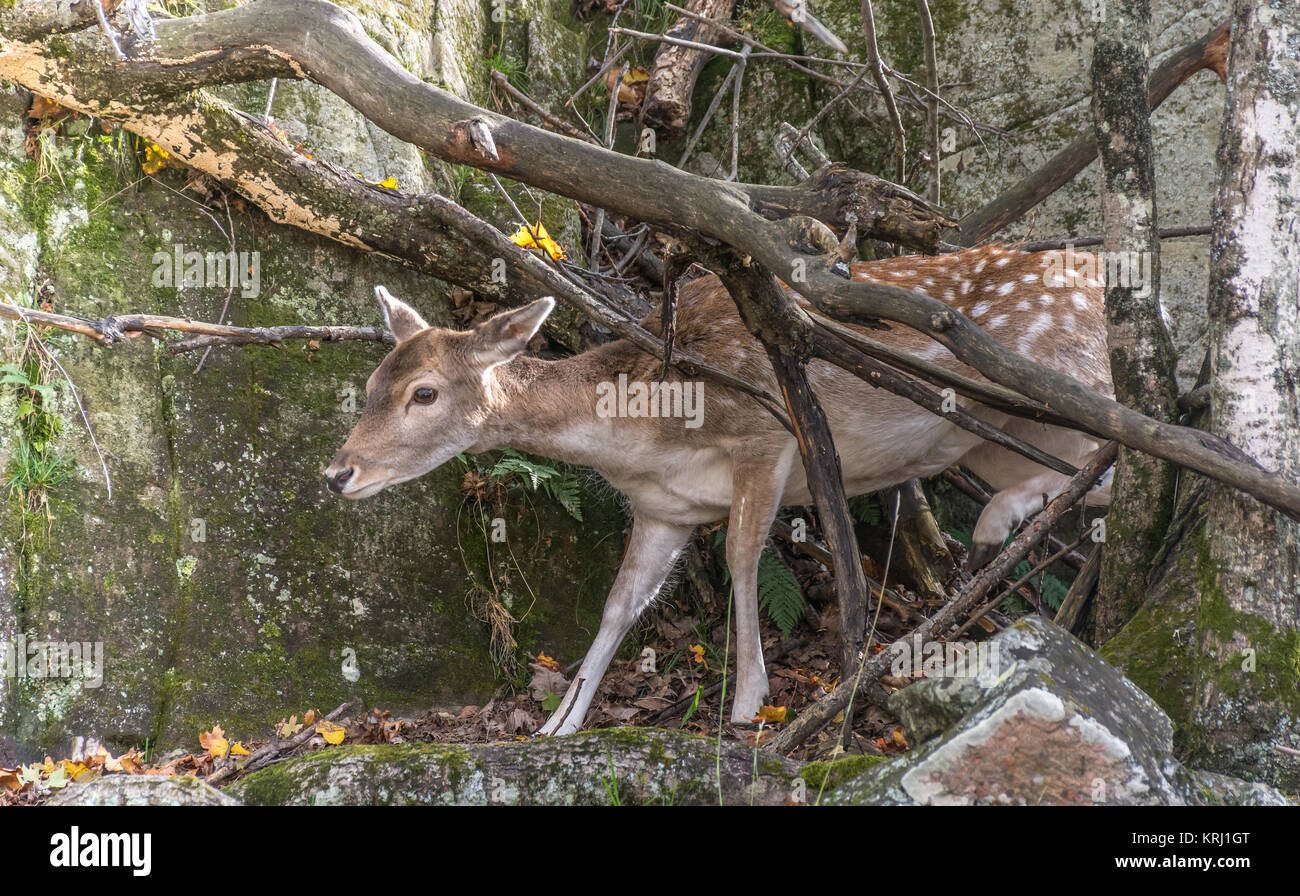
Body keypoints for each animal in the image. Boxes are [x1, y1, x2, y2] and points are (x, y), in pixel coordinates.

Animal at [330, 243, 1112, 733]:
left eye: (424, 392)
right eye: (369, 386)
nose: (339, 472)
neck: (641, 428)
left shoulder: (767, 433)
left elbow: (740, 557)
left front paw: (749, 703)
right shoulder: (664, 508)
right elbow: (620, 603)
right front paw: (558, 724)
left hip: (1062, 383)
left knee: (1126, 447)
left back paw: (995, 525)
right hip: (991, 437)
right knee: (1093, 481)